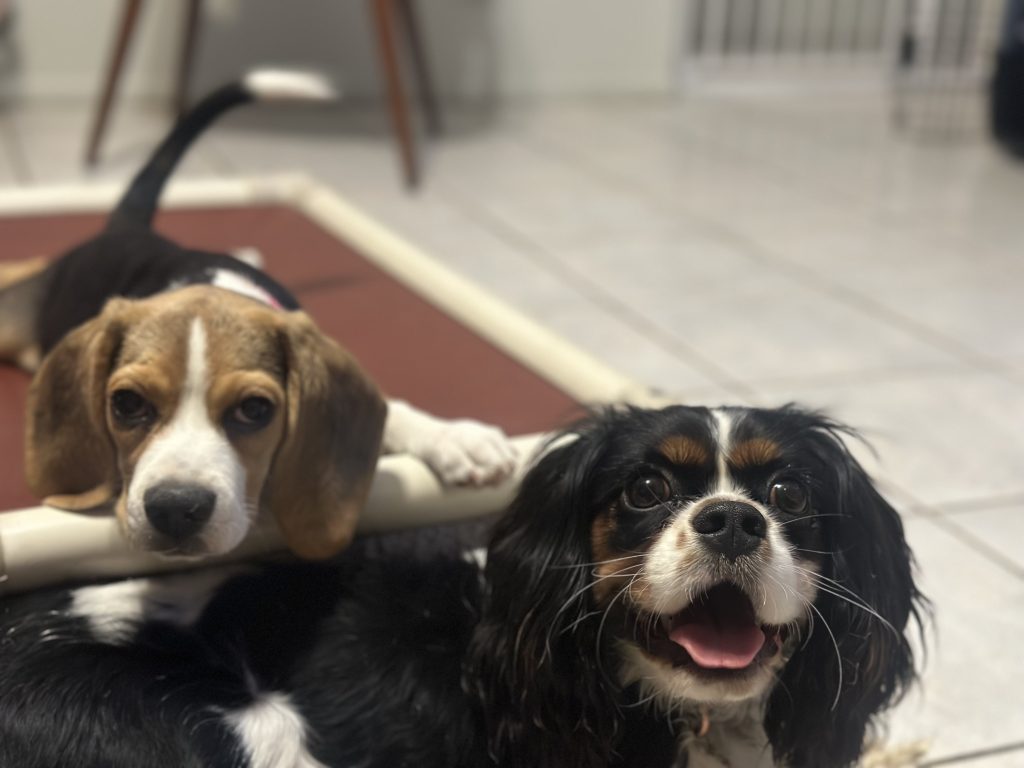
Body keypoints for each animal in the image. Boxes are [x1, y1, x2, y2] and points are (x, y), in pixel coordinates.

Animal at [0, 70, 515, 560]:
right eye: (126, 403)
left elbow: (398, 411)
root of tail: (123, 231)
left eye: (254, 410)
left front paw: (455, 438)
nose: (175, 509)